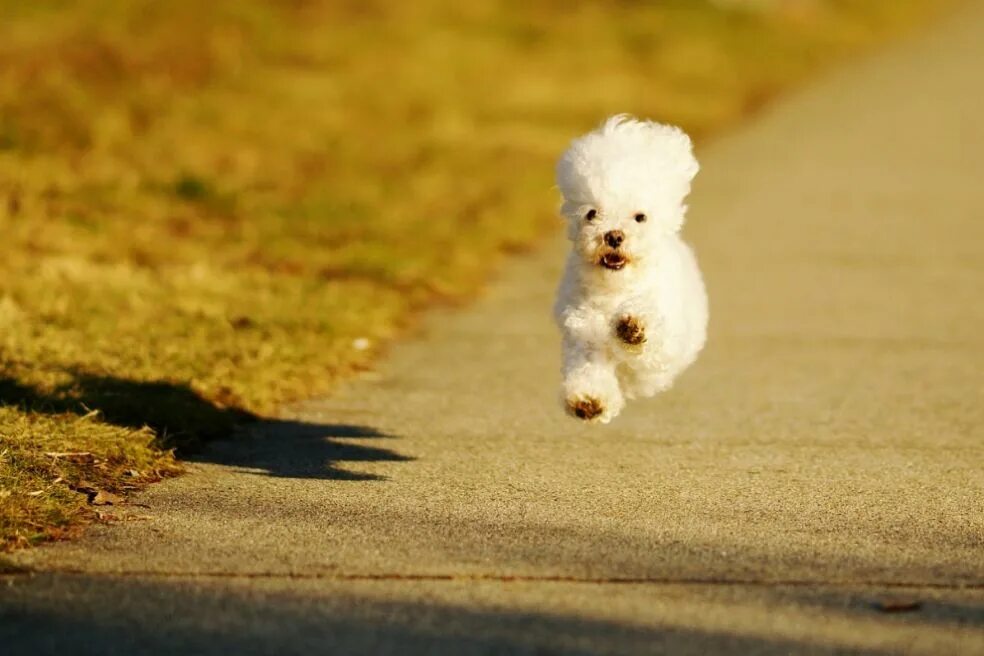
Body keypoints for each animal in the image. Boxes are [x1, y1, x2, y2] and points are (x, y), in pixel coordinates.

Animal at [552, 114, 708, 422]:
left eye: (640, 217)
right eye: (591, 214)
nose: (613, 236)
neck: (616, 287)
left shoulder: (664, 345)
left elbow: (650, 334)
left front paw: (632, 326)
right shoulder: (584, 334)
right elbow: (589, 369)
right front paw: (590, 400)